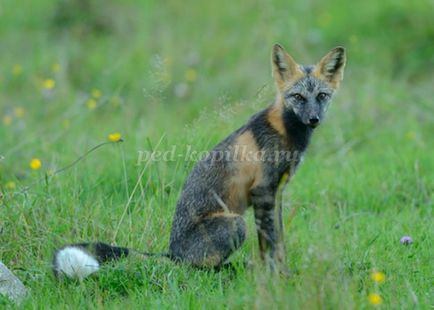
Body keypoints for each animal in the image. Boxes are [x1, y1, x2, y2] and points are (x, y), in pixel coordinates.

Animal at [52, 44, 348, 280]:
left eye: (321, 96)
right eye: (298, 97)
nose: (313, 119)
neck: (286, 133)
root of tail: (173, 252)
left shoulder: (277, 193)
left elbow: (279, 241)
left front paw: (282, 273)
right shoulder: (263, 191)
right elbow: (271, 245)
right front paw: (276, 277)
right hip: (235, 224)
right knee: (197, 268)